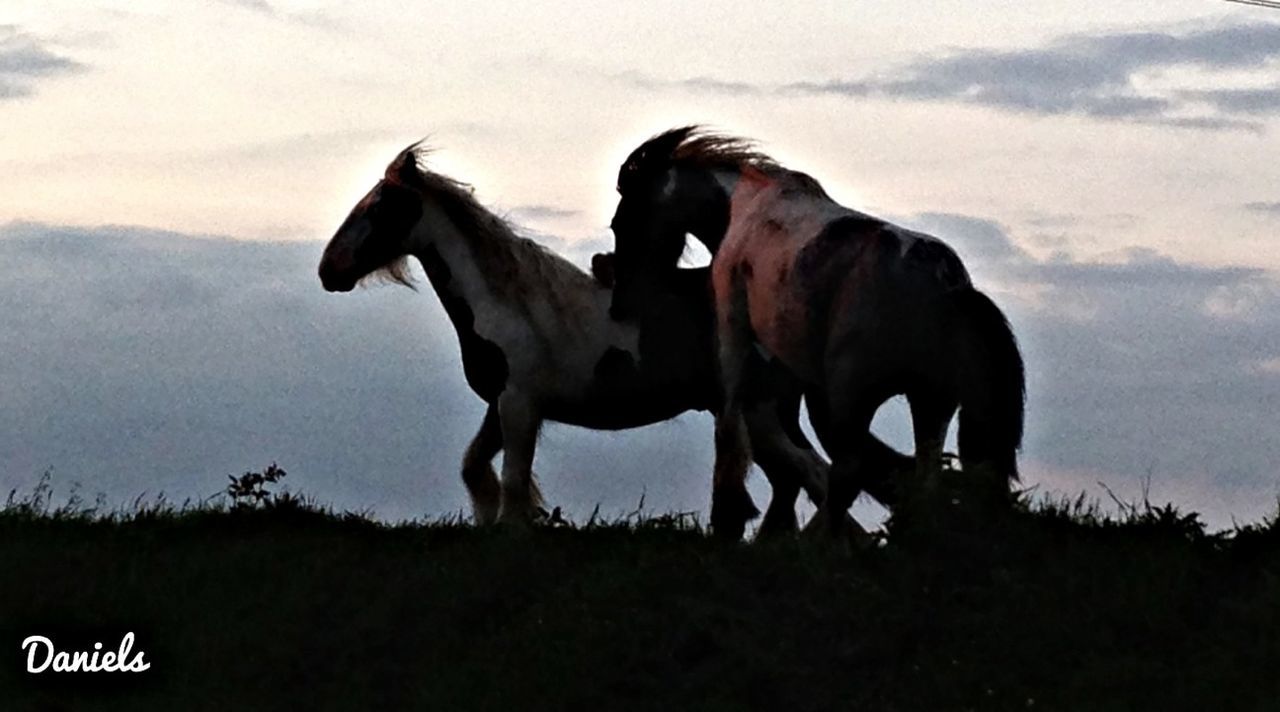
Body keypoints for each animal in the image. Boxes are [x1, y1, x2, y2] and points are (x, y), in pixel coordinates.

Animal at [313, 142, 906, 537]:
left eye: (379, 208)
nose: (328, 270)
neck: (512, 306)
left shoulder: (520, 404)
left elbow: (513, 481)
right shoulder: (500, 405)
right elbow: (476, 468)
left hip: (762, 412)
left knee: (815, 477)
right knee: (800, 482)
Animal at [609, 124, 1029, 537]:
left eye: (620, 223)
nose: (619, 305)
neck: (744, 209)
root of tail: (948, 287)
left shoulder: (734, 331)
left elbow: (730, 421)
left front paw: (729, 512)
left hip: (854, 395)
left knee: (850, 472)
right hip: (930, 400)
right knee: (920, 475)